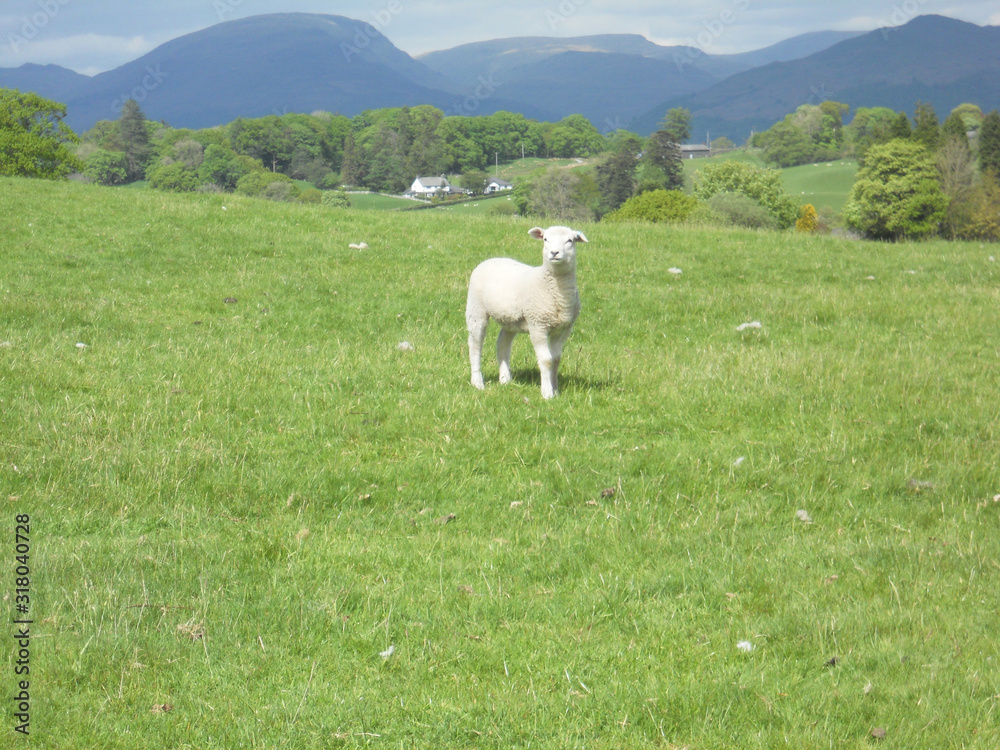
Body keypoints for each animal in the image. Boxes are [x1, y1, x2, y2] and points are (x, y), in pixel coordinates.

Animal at [466, 226, 588, 399]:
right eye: (545, 239)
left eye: (570, 240)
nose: (554, 253)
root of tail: (491, 259)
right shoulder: (538, 324)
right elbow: (546, 360)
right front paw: (547, 393)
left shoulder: (563, 329)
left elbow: (556, 359)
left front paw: (555, 390)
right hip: (476, 309)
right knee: (475, 345)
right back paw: (477, 382)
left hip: (510, 319)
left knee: (502, 343)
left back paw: (505, 379)